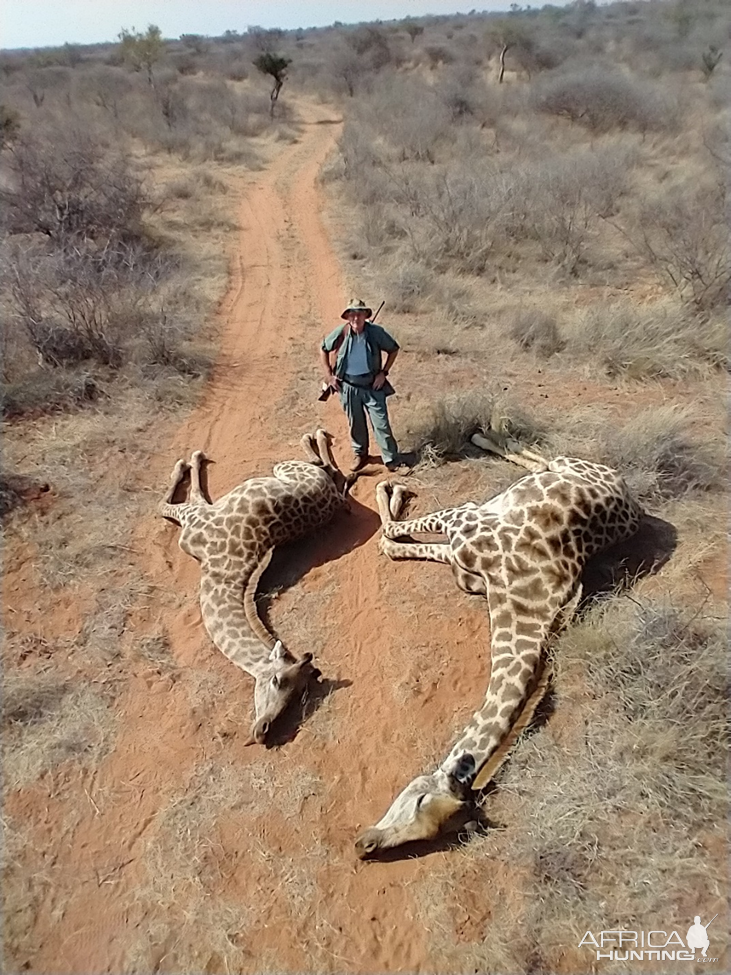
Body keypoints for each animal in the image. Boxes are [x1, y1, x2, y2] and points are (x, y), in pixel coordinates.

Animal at [159, 430, 348, 744]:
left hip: (285, 469)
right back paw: (316, 436)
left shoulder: (193, 521)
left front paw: (189, 460)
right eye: (277, 680)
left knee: (324, 466)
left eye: (298, 695)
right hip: (284, 468)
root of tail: (329, 496)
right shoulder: (194, 518)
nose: (263, 732)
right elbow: (176, 499)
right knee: (325, 467)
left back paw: (315, 435)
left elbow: (171, 502)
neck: (220, 576)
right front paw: (191, 460)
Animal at [358, 428, 644, 856]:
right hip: (568, 466)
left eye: (429, 831)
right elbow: (392, 537)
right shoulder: (463, 523)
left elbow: (390, 541)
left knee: (544, 461)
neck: (511, 592)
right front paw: (391, 487)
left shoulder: (463, 535)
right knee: (547, 459)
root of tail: (630, 496)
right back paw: (484, 437)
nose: (366, 845)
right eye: (418, 798)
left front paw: (393, 492)